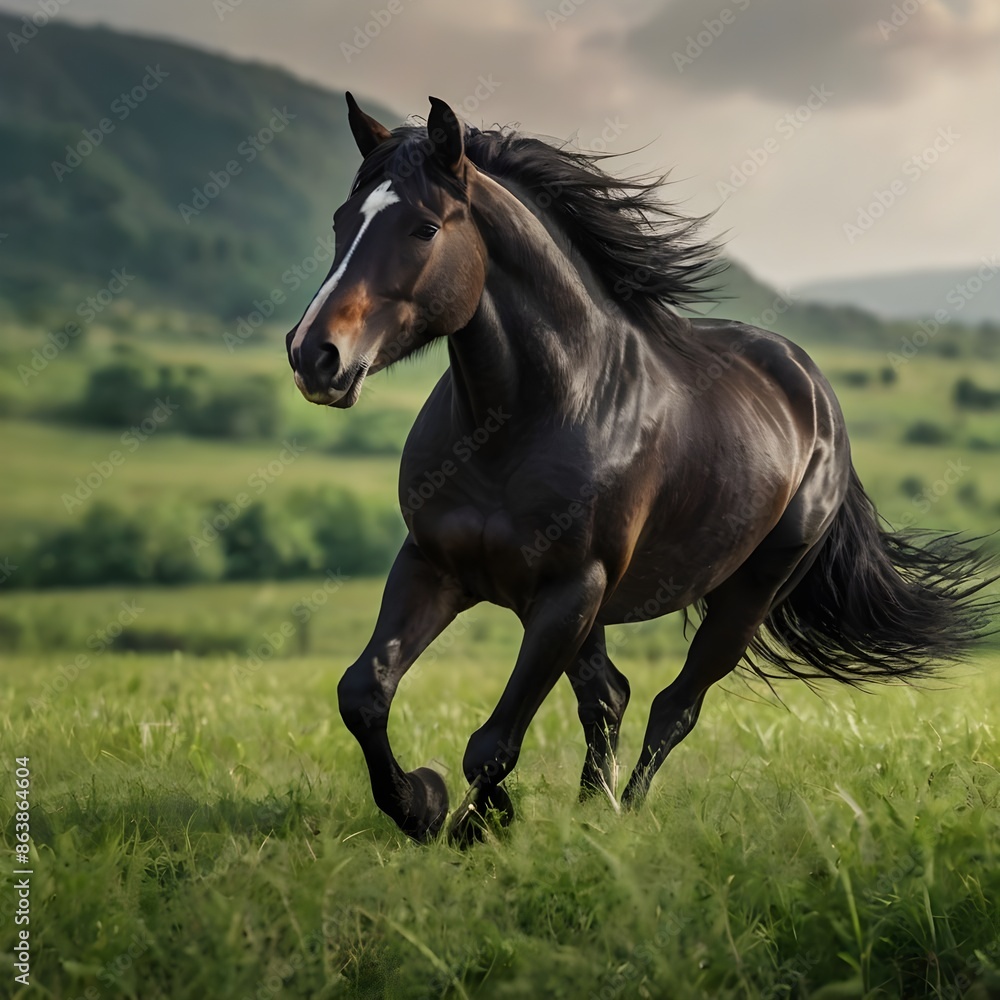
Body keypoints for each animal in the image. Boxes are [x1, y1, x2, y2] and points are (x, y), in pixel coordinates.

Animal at [285, 94, 993, 843]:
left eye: (423, 228)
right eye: (341, 221)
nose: (314, 356)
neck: (525, 419)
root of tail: (812, 390)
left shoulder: (571, 588)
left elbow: (494, 744)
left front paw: (474, 823)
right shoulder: (434, 564)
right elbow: (365, 691)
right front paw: (420, 804)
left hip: (747, 593)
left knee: (673, 706)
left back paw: (622, 810)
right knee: (611, 696)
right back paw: (595, 806)